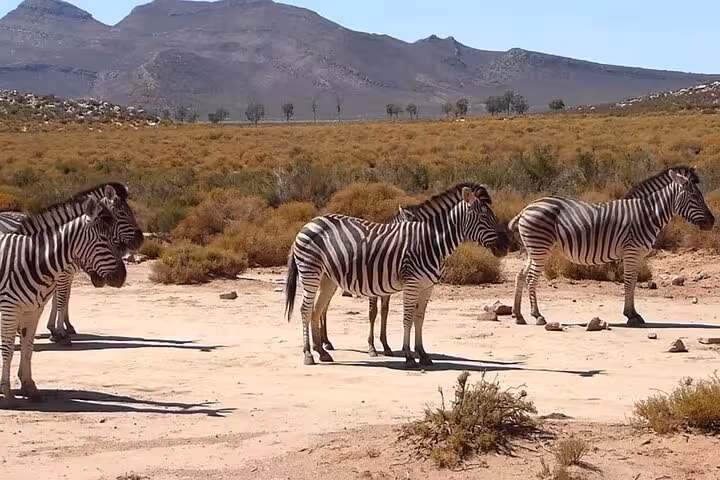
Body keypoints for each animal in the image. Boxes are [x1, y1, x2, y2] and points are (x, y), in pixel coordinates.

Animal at [0, 182, 143, 345]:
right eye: (122, 214)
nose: (140, 240)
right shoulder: (63, 273)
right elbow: (61, 299)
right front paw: (60, 332)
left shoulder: (63, 274)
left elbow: (62, 298)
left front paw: (61, 328)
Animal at [1, 192, 127, 405]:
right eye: (104, 240)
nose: (122, 277)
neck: (32, 261)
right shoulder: (10, 310)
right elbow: (8, 349)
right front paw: (7, 393)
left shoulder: (32, 310)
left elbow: (27, 348)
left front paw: (29, 387)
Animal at [284, 184, 510, 367]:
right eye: (484, 217)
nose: (506, 246)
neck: (430, 241)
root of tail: (310, 222)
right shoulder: (412, 283)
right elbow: (407, 318)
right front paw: (408, 356)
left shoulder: (427, 286)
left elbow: (419, 318)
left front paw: (423, 354)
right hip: (310, 271)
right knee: (305, 309)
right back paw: (308, 355)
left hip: (327, 278)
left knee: (317, 309)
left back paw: (322, 352)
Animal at [509, 166, 715, 327]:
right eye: (694, 196)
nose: (712, 222)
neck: (648, 215)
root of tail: (526, 208)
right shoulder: (632, 251)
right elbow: (629, 281)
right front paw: (631, 316)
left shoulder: (636, 254)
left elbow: (632, 281)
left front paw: (633, 313)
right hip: (540, 247)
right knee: (531, 278)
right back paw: (537, 316)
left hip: (534, 249)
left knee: (521, 275)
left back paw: (518, 315)